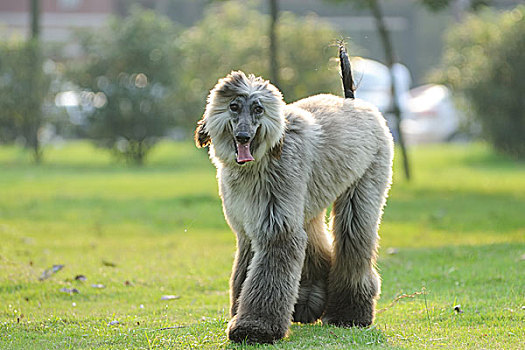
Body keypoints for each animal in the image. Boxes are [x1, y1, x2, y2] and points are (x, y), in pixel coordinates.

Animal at [194, 45, 390, 344]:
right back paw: (310, 303)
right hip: (309, 201)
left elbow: (269, 272)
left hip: (363, 185)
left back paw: (350, 313)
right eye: (233, 106)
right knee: (317, 246)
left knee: (353, 240)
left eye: (258, 109)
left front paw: (255, 327)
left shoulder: (276, 225)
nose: (243, 136)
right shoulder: (248, 226)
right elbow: (245, 270)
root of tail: (353, 101)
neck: (262, 160)